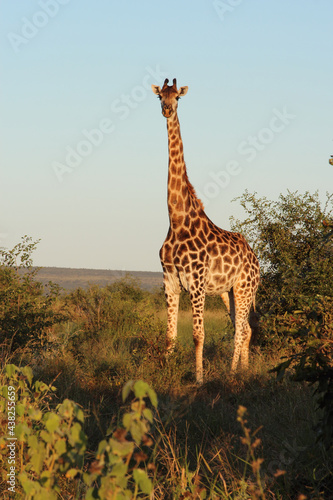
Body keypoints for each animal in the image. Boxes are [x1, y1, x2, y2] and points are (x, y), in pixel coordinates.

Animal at [151, 78, 260, 382]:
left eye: (177, 97)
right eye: (159, 97)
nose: (167, 110)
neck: (177, 221)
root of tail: (256, 260)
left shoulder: (196, 282)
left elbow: (198, 335)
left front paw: (199, 379)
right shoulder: (170, 280)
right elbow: (170, 336)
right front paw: (164, 375)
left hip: (245, 288)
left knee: (240, 331)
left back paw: (233, 374)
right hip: (228, 292)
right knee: (245, 329)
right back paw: (243, 371)